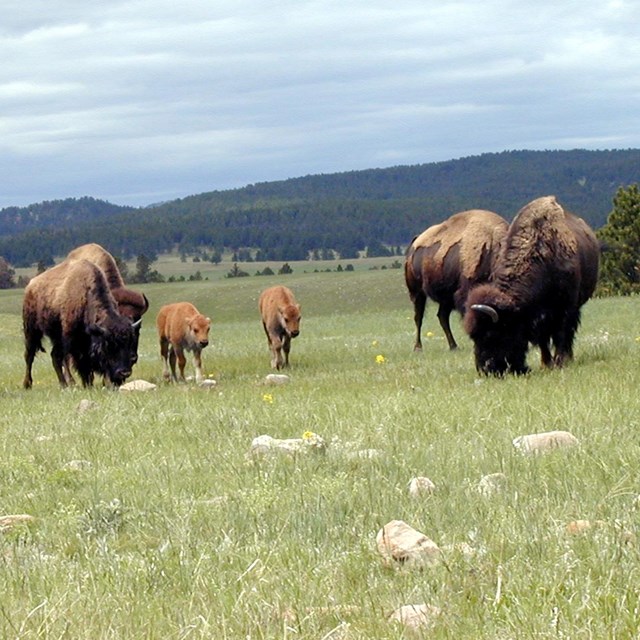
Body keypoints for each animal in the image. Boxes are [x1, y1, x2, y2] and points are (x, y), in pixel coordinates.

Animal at [22, 258, 141, 388]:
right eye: (109, 344)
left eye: (130, 343)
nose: (124, 372)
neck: (86, 296)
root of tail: (30, 286)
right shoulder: (72, 340)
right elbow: (79, 362)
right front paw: (85, 384)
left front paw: (89, 383)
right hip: (32, 330)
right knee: (30, 356)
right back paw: (28, 384)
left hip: (55, 336)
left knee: (54, 357)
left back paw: (64, 384)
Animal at [404, 210, 510, 350]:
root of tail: (414, 243)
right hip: (417, 292)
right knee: (418, 317)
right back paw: (418, 347)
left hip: (446, 298)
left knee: (442, 317)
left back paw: (453, 346)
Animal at [462, 195, 596, 376]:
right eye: (473, 337)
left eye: (491, 334)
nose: (486, 370)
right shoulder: (539, 316)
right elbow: (543, 339)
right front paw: (546, 363)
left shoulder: (566, 308)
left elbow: (561, 334)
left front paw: (559, 363)